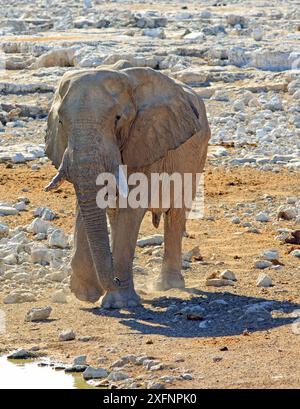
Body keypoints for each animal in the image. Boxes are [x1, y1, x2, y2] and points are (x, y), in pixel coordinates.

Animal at [45, 67, 211, 310]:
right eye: (61, 122)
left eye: (117, 119)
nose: (114, 280)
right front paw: (86, 294)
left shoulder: (146, 140)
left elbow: (132, 207)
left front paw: (119, 302)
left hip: (195, 157)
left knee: (175, 214)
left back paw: (169, 285)